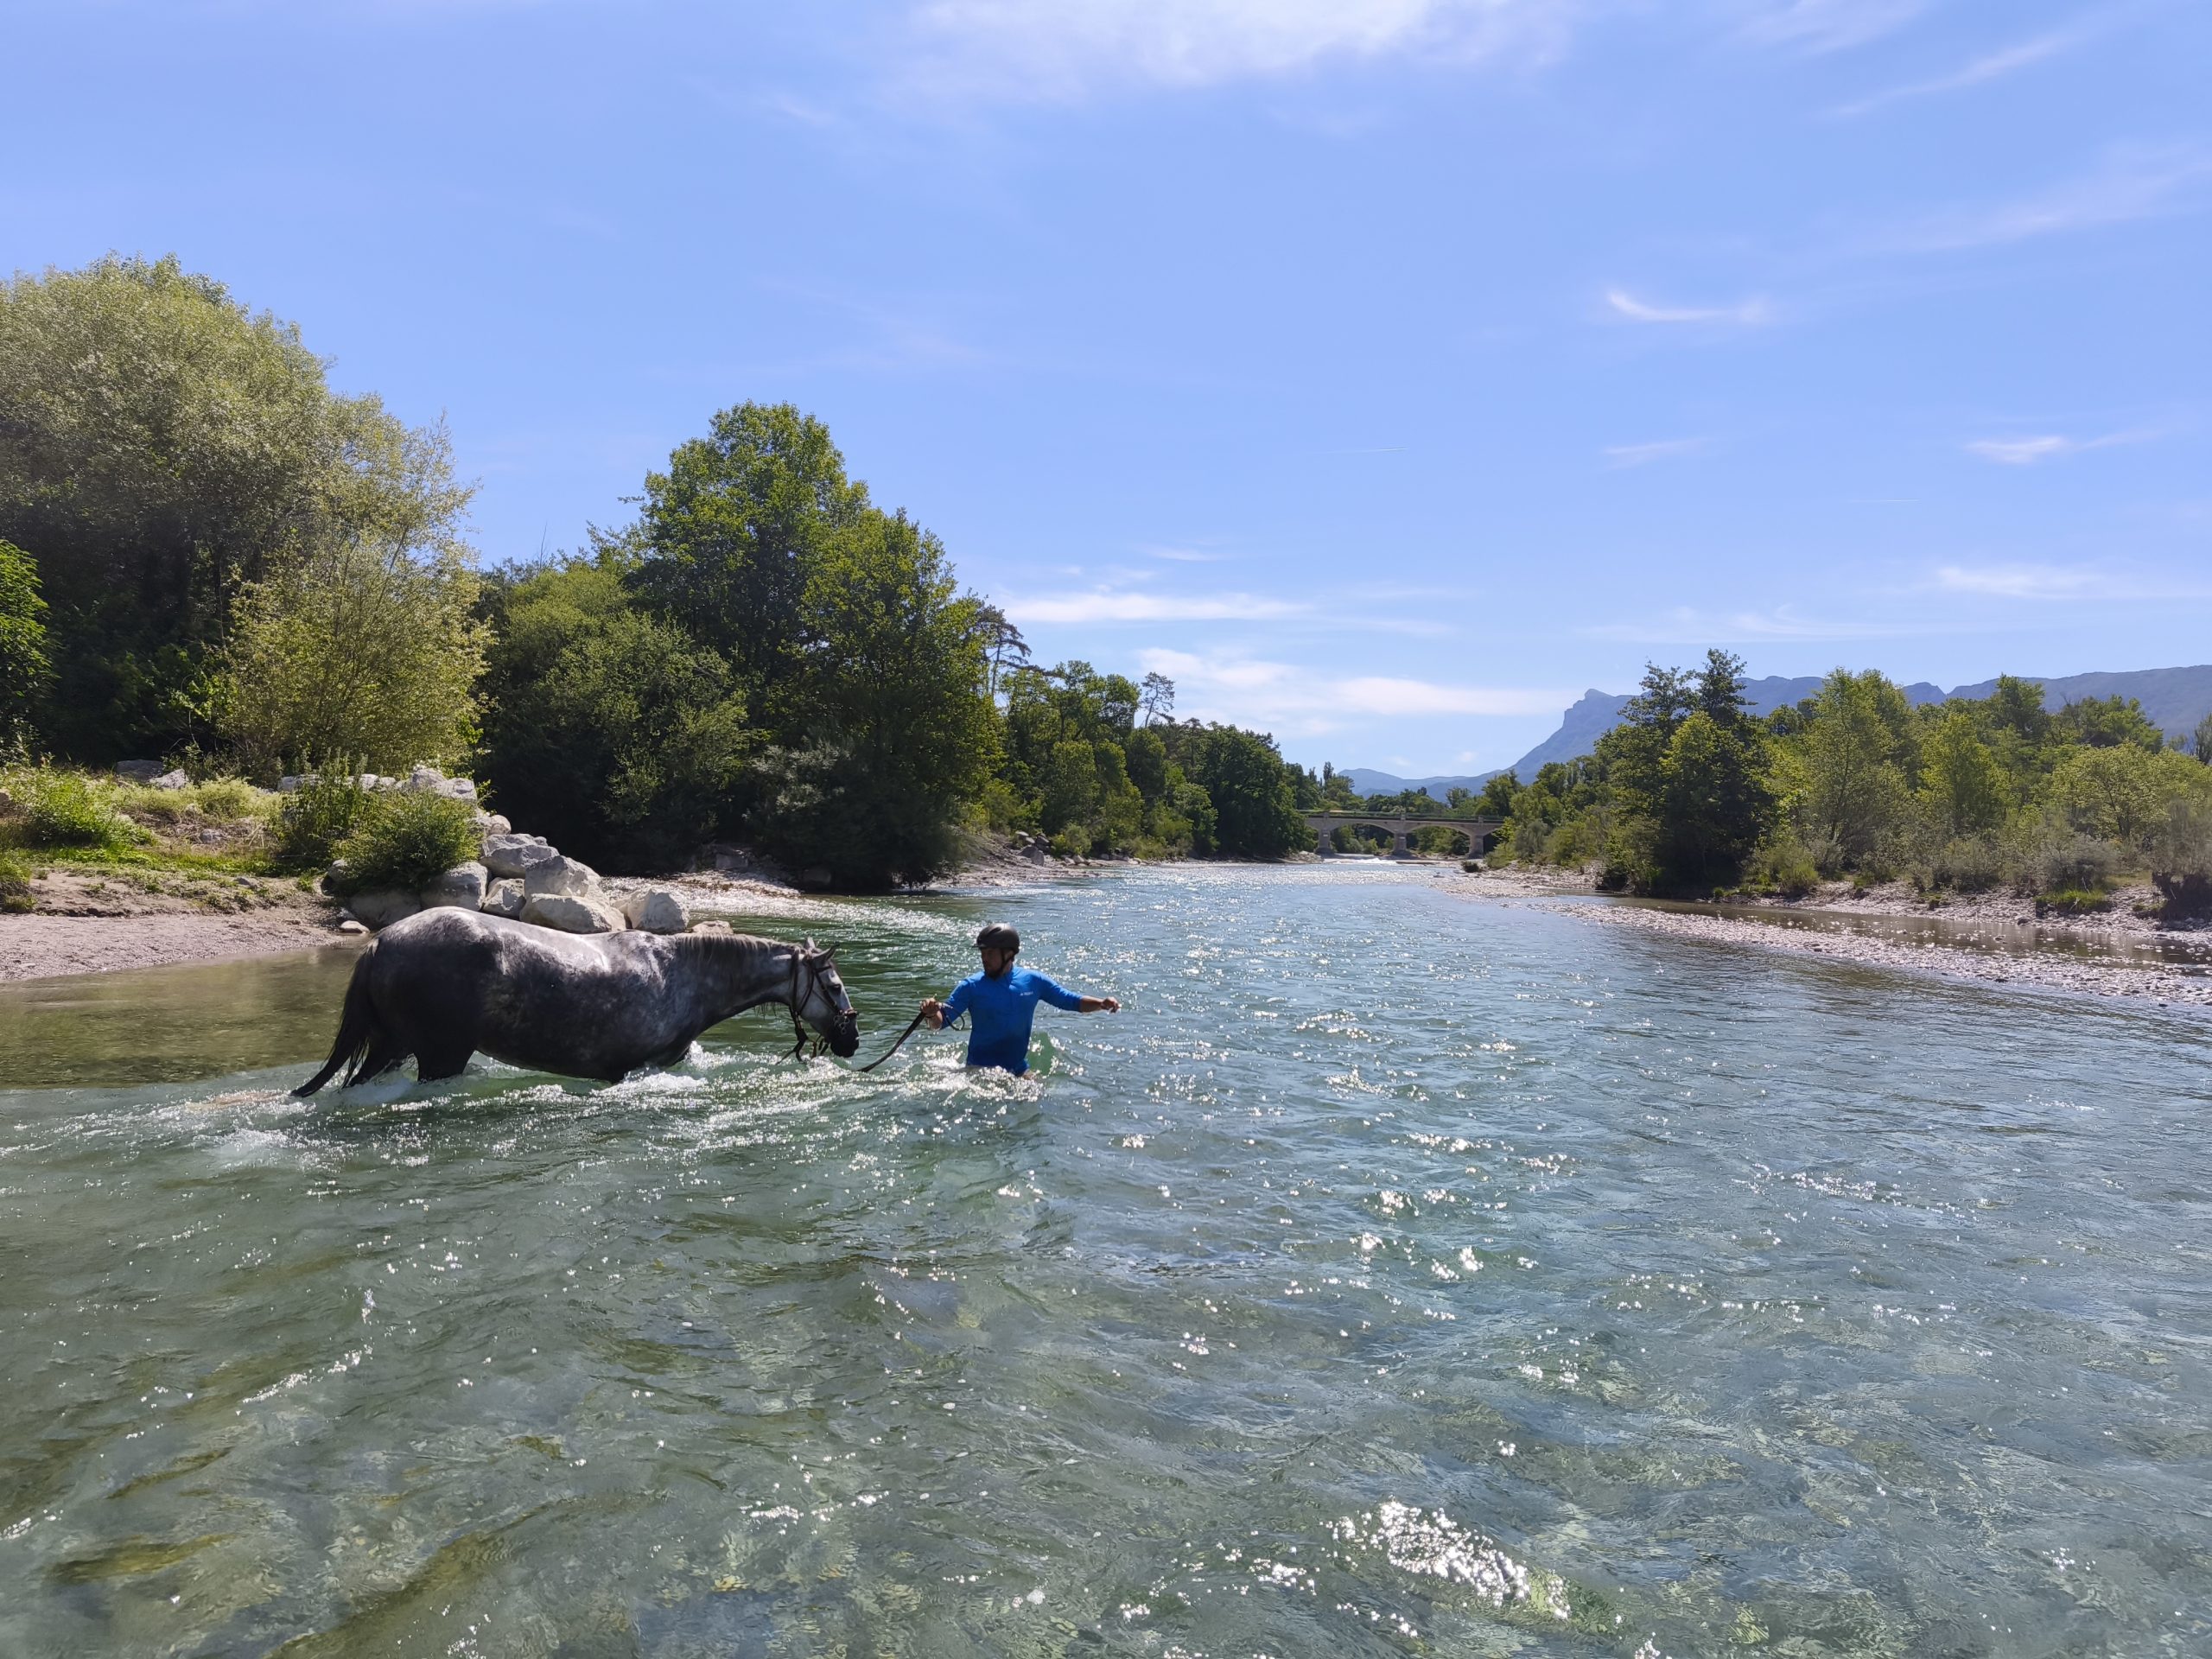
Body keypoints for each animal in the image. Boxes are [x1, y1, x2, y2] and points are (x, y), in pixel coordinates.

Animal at [293, 908, 859, 1095]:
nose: (852, 1038)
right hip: (438, 1057)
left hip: (392, 1048)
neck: (682, 975)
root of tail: (383, 941)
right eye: (833, 986)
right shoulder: (642, 1068)